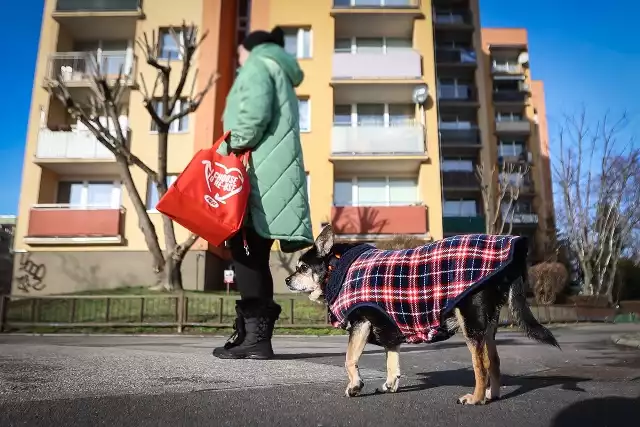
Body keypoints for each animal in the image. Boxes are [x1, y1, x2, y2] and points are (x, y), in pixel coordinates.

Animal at [284, 226, 560, 406]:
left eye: (303, 268)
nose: (287, 280)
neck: (337, 268)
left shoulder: (361, 322)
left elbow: (349, 359)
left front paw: (354, 386)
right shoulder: (389, 330)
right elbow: (391, 361)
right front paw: (390, 385)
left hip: (471, 324)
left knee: (480, 364)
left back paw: (477, 398)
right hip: (487, 326)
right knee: (494, 361)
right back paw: (493, 395)